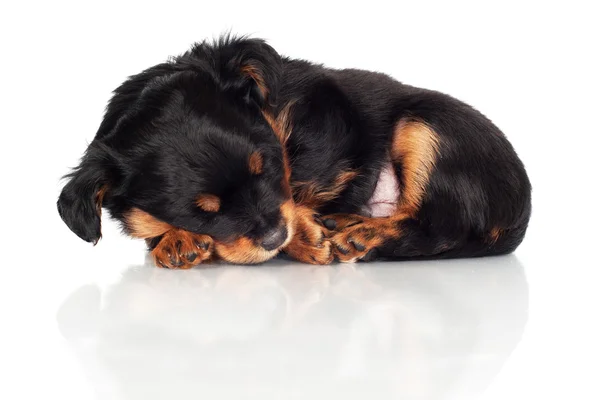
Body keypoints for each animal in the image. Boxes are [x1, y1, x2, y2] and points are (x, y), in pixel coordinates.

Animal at [58, 33, 532, 266]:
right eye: (199, 213)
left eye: (267, 166)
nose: (274, 236)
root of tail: (522, 212)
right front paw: (175, 238)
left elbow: (301, 184)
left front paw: (303, 235)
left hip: (425, 128)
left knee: (442, 228)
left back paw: (361, 234)